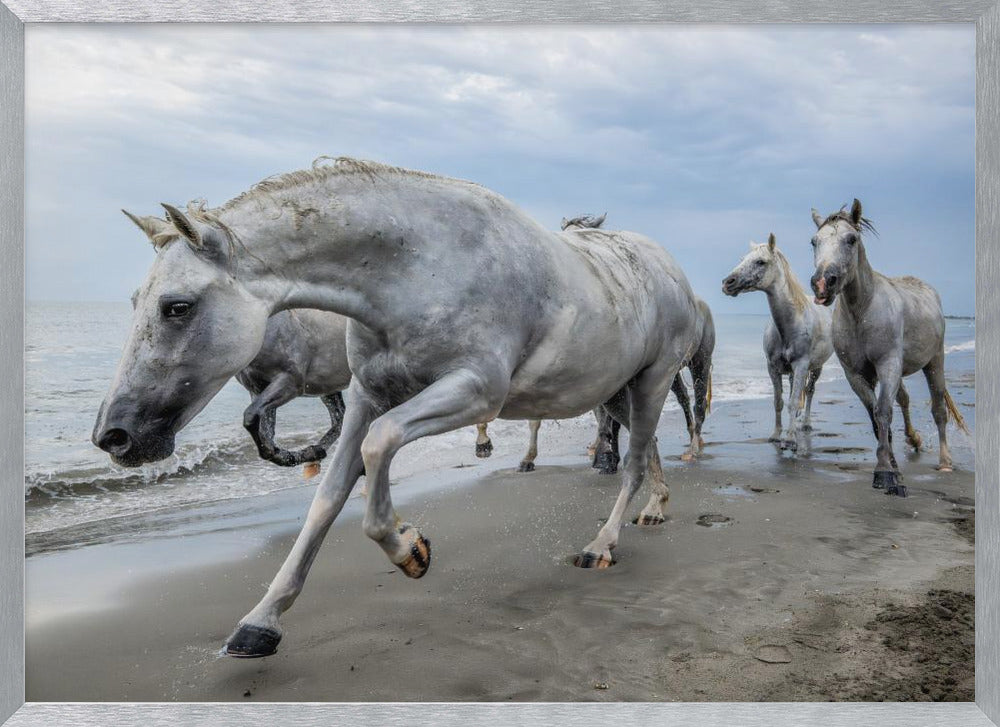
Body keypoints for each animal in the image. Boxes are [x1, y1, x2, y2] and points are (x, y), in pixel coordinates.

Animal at [92, 158, 702, 658]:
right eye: (137, 302)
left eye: (177, 307)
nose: (114, 436)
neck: (420, 268)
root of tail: (671, 267)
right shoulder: (367, 396)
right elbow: (329, 496)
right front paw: (261, 621)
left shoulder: (475, 391)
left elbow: (378, 445)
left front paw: (409, 548)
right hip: (617, 392)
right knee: (647, 451)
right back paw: (656, 509)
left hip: (652, 382)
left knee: (632, 462)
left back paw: (601, 546)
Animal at [722, 233, 833, 449]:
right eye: (742, 259)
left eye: (760, 261)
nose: (727, 283)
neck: (789, 325)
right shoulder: (772, 367)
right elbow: (779, 401)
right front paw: (775, 435)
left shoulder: (801, 365)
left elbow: (793, 400)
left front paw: (790, 439)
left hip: (816, 367)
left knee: (810, 391)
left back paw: (805, 423)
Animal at [808, 199, 968, 496]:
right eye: (814, 241)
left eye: (851, 239)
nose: (823, 283)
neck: (862, 311)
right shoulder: (856, 374)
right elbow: (875, 418)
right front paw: (893, 468)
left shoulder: (888, 365)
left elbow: (883, 412)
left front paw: (884, 474)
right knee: (904, 400)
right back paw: (914, 440)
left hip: (934, 361)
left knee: (939, 410)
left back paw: (945, 462)